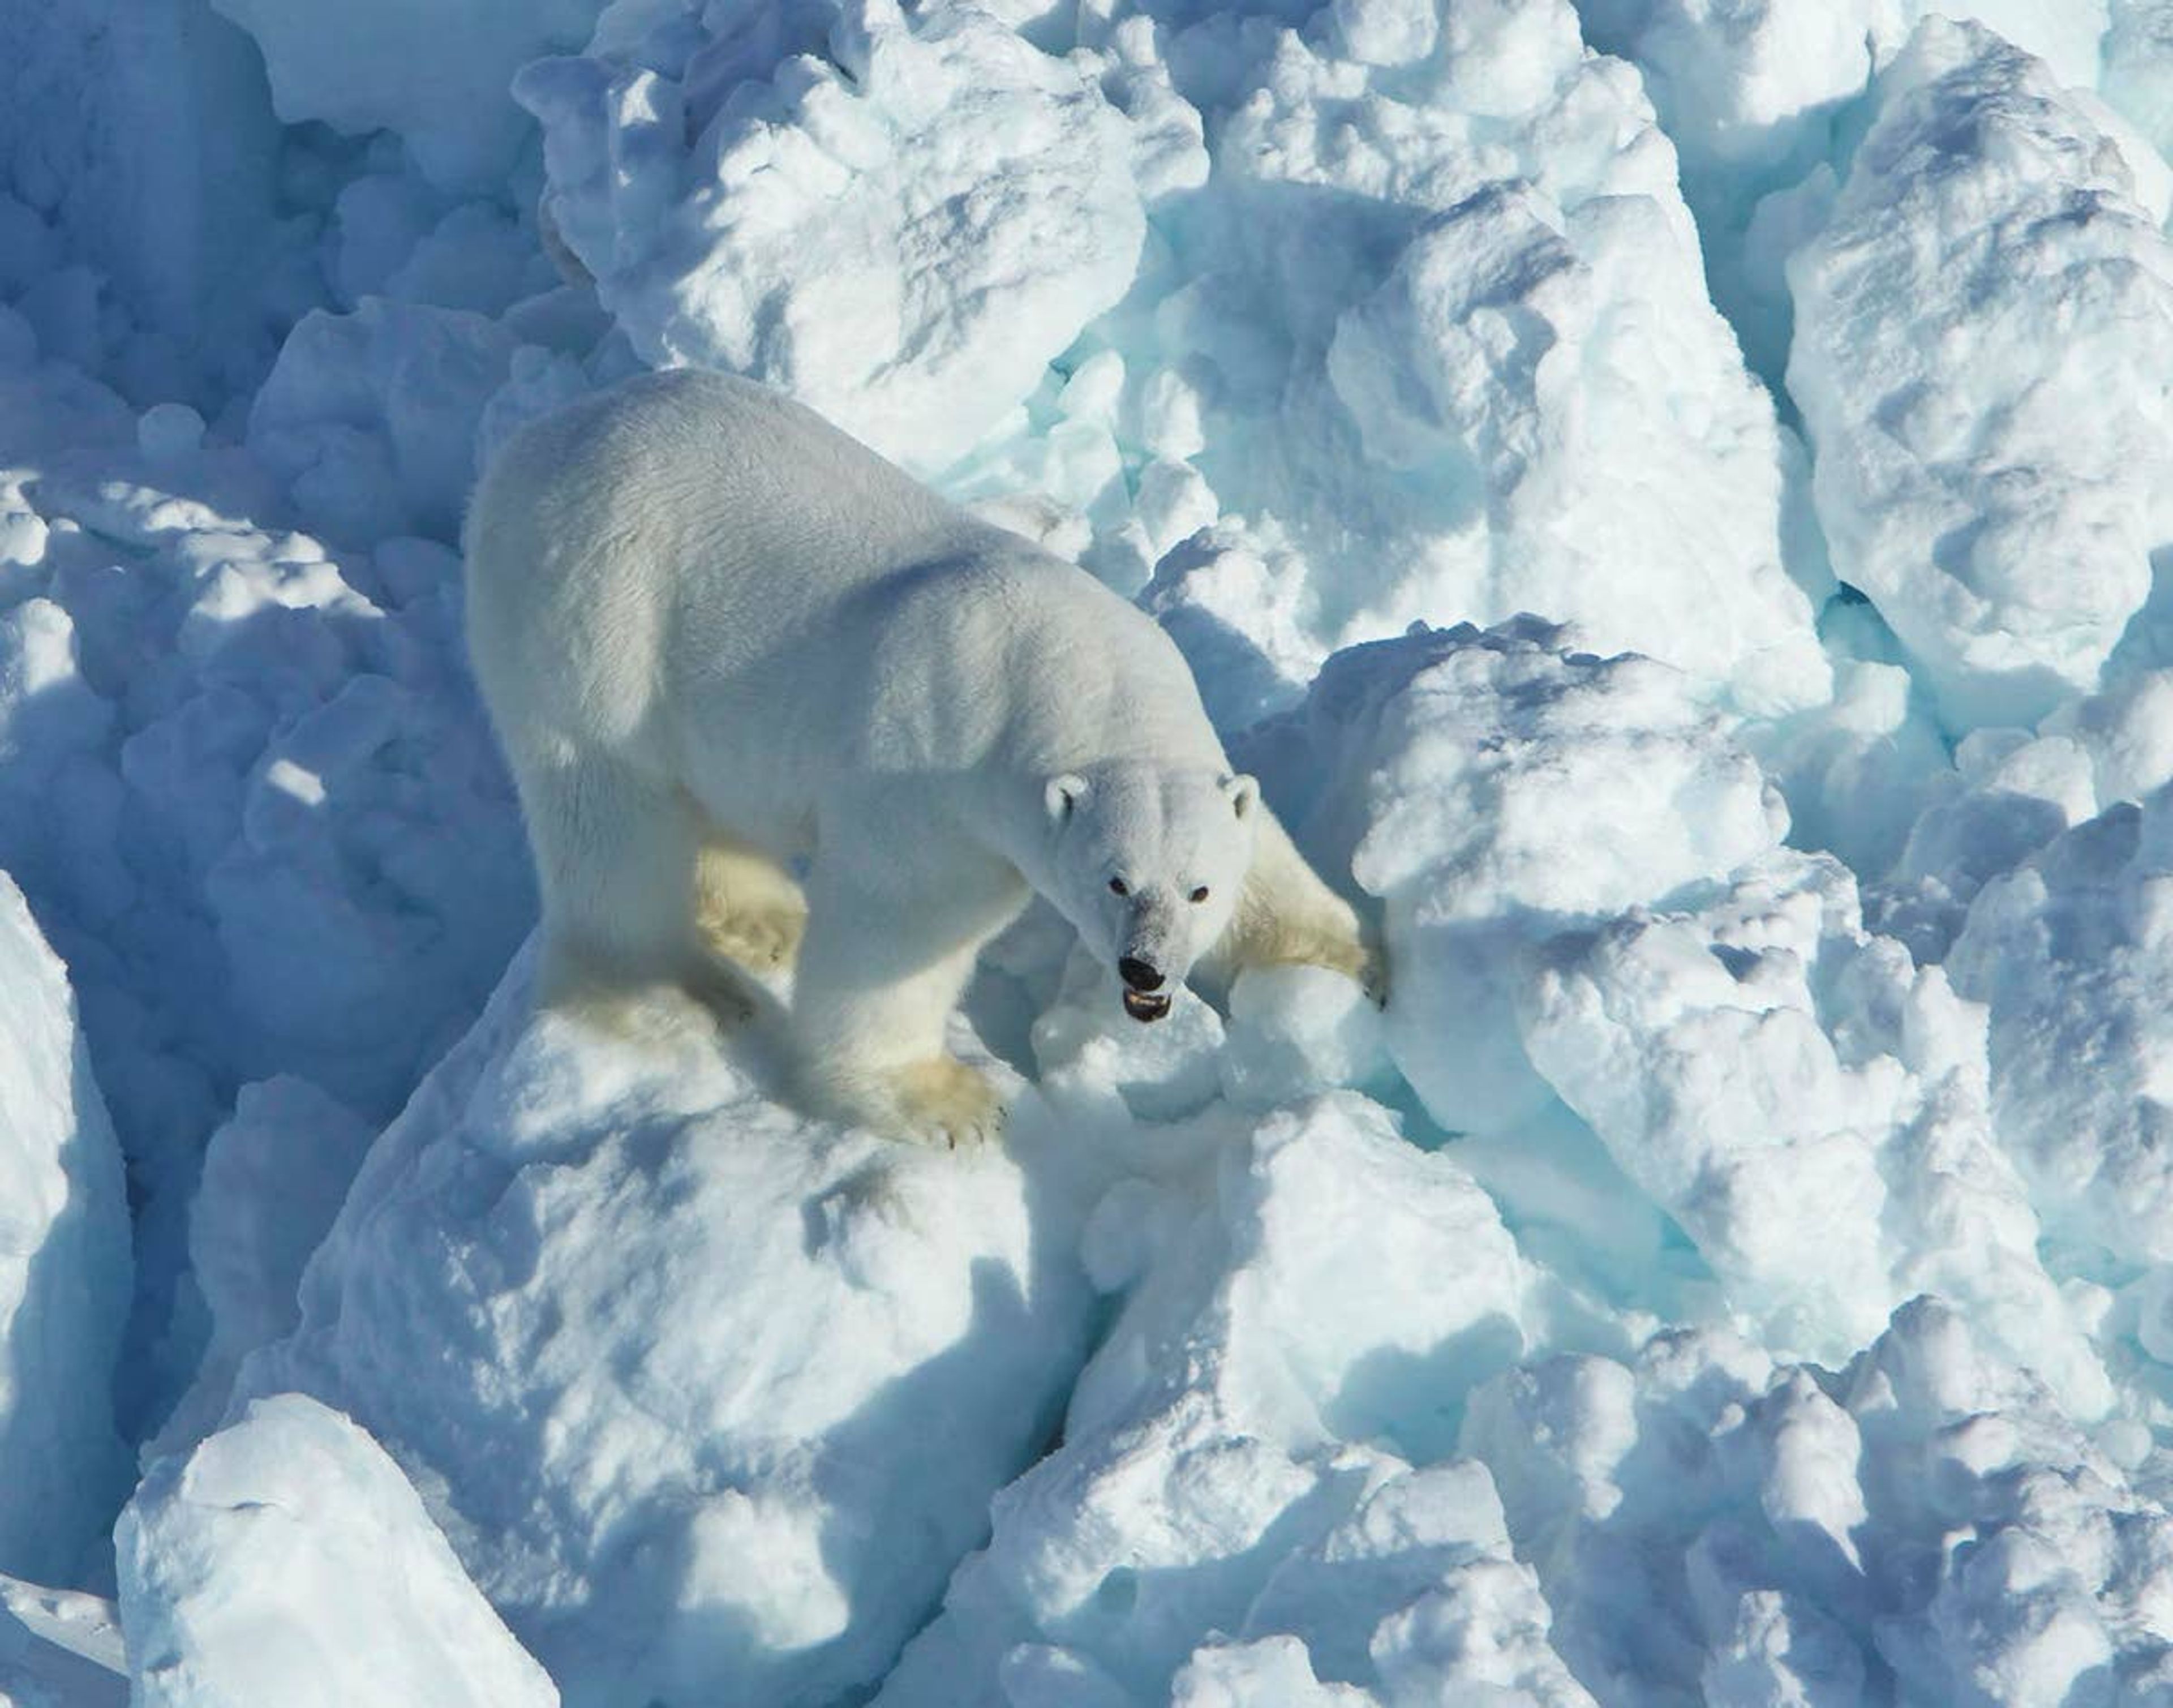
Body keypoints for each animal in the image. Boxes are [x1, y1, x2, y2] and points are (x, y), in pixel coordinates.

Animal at [462, 374, 1373, 1147]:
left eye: (1198, 889)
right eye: (1113, 881)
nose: (1143, 967)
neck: (1070, 669)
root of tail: (526, 449)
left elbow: (1266, 859)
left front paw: (1355, 964)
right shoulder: (937, 777)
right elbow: (898, 930)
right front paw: (944, 1101)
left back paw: (766, 920)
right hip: (596, 618)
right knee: (610, 812)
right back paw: (676, 990)